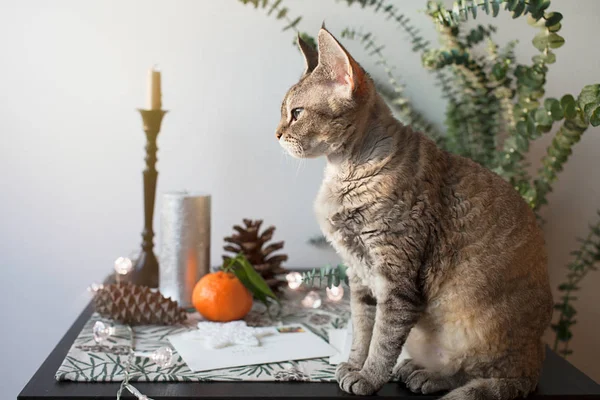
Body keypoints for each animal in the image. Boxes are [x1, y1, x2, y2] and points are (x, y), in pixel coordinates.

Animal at [276, 26, 552, 398]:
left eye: (297, 113)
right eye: (284, 111)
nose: (276, 133)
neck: (345, 175)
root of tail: (536, 357)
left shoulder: (396, 279)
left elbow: (383, 340)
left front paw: (369, 377)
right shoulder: (359, 277)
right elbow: (362, 332)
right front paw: (354, 365)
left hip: (481, 330)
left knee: (485, 377)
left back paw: (431, 377)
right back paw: (416, 370)